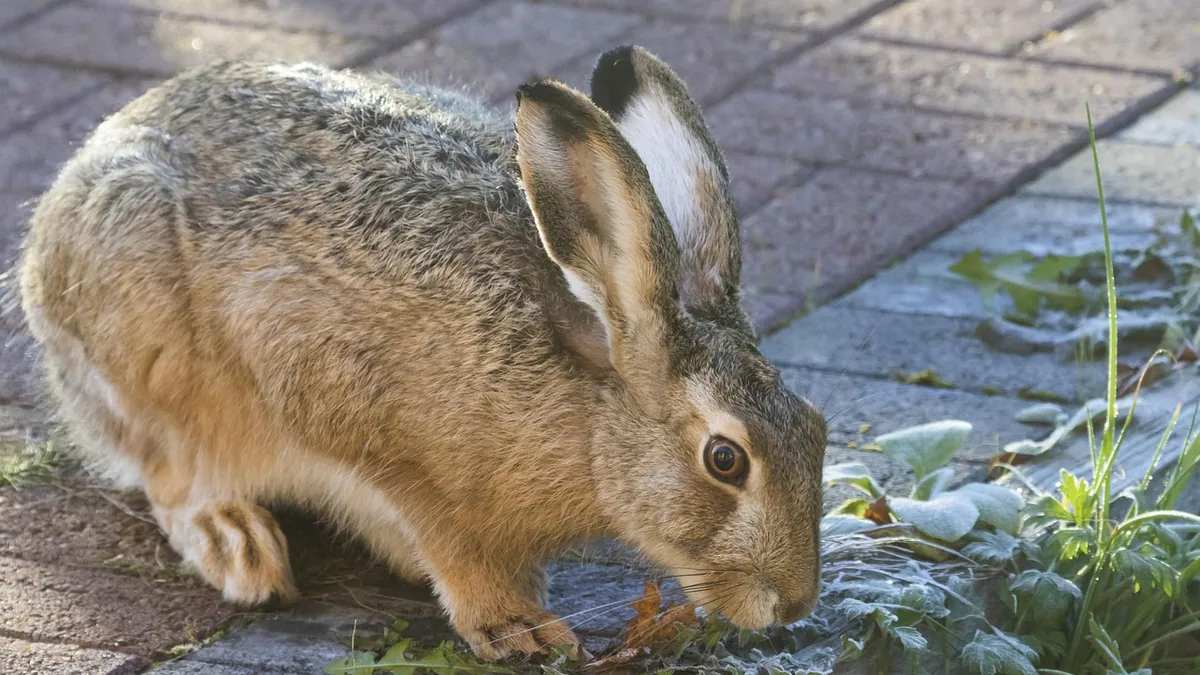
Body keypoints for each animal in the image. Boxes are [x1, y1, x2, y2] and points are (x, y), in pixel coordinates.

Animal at [16, 45, 827, 661]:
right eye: (725, 459)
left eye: (817, 430)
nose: (794, 603)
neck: (589, 409)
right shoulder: (366, 427)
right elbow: (444, 538)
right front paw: (517, 625)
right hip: (150, 351)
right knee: (169, 472)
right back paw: (237, 542)